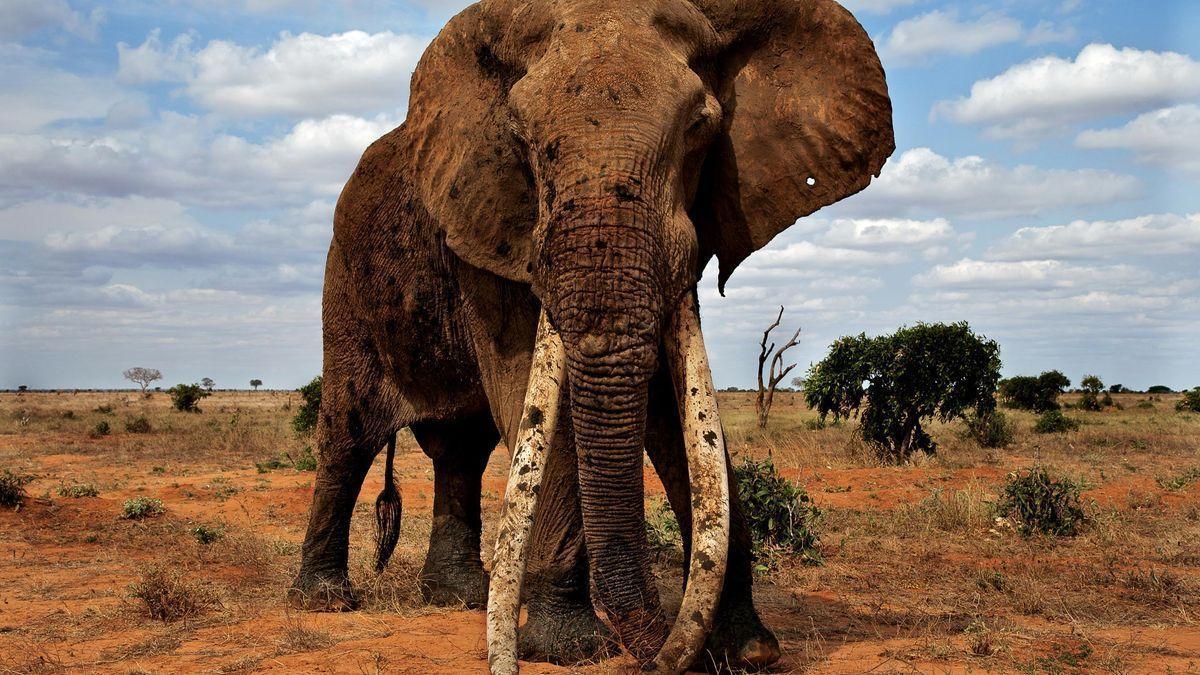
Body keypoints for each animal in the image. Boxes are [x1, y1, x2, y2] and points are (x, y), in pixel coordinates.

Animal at [287, 0, 893, 671]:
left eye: (701, 128)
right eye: (520, 139)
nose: (656, 650)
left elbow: (674, 412)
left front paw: (750, 651)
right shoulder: (493, 228)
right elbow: (535, 397)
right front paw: (570, 648)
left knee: (461, 449)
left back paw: (461, 598)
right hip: (347, 280)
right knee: (348, 436)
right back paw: (323, 601)